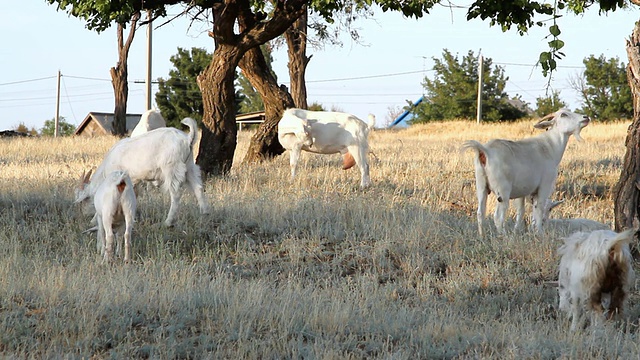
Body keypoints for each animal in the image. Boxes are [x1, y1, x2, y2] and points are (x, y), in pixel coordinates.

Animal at [75, 116, 210, 226]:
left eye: (85, 200)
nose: (83, 215)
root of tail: (188, 139)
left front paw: (93, 220)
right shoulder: (134, 180)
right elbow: (134, 195)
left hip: (172, 167)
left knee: (176, 194)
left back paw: (168, 221)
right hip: (189, 166)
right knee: (198, 187)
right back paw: (204, 213)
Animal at [460, 108, 592, 235]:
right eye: (563, 114)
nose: (586, 117)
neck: (549, 146)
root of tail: (484, 150)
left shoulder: (522, 192)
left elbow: (521, 211)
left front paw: (517, 232)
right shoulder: (544, 187)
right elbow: (538, 210)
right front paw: (539, 233)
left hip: (481, 185)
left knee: (480, 213)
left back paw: (482, 236)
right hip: (502, 190)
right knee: (498, 216)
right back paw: (504, 237)